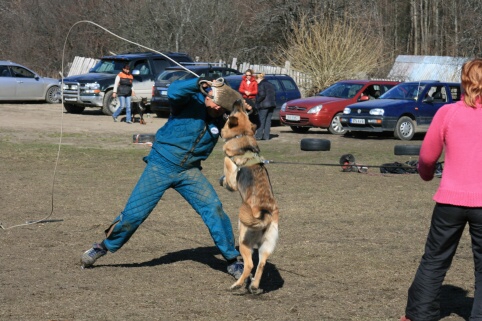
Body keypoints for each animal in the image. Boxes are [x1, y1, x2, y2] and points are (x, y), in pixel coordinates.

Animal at [219, 99, 278, 294]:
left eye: (237, 110)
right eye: (244, 110)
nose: (239, 100)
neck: (242, 135)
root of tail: (265, 213)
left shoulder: (229, 166)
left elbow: (228, 178)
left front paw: (222, 181)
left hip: (244, 240)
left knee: (250, 265)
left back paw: (237, 285)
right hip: (266, 246)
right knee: (261, 264)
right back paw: (254, 286)